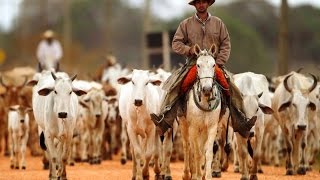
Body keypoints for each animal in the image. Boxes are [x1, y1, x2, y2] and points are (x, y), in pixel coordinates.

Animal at [179, 44, 221, 180]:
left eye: (213, 65)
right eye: (198, 65)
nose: (207, 89)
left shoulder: (212, 127)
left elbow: (208, 152)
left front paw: (207, 175)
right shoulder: (193, 127)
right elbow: (196, 152)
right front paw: (196, 175)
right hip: (184, 125)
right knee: (187, 146)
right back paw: (188, 173)